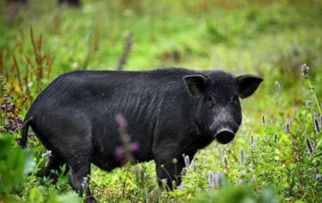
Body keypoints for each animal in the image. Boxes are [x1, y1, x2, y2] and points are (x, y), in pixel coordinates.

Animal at [19, 67, 262, 202]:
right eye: (210, 99)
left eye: (233, 98)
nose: (224, 130)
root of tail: (34, 109)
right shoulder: (165, 146)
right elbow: (166, 180)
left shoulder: (188, 151)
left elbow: (178, 180)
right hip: (75, 143)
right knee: (77, 179)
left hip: (55, 150)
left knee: (45, 175)